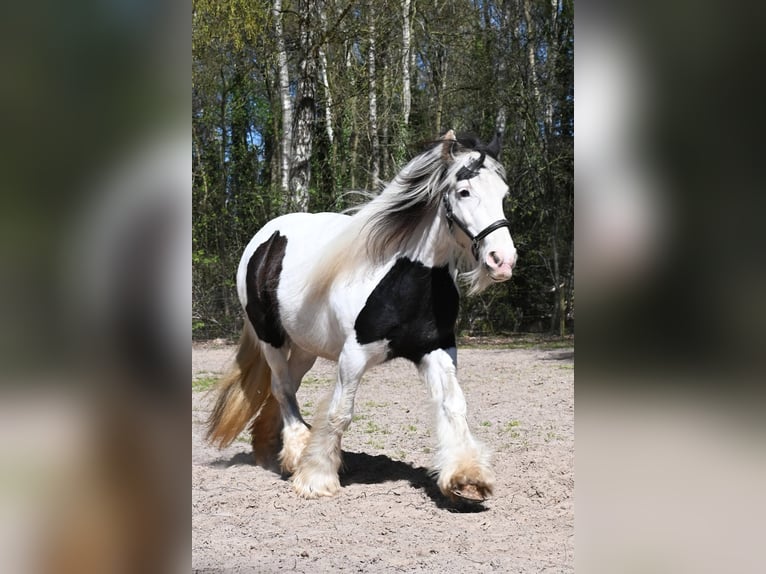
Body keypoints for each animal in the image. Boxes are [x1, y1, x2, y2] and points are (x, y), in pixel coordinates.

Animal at [206, 129, 518, 502]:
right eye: (464, 191)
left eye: (503, 193)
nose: (502, 260)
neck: (407, 277)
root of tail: (265, 239)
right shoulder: (353, 355)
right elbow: (340, 413)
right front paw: (317, 478)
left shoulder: (436, 349)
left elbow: (454, 404)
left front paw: (466, 477)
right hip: (271, 339)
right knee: (282, 388)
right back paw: (296, 452)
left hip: (306, 347)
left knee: (286, 388)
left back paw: (272, 449)